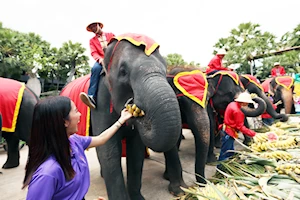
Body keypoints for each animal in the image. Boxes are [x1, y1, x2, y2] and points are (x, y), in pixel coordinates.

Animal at [89, 33, 184, 199]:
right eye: (123, 72)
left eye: (165, 70)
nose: (135, 108)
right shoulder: (101, 101)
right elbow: (109, 150)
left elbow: (136, 151)